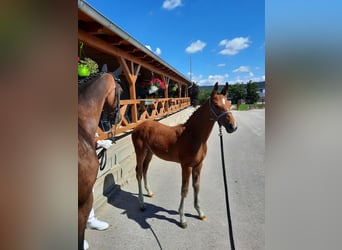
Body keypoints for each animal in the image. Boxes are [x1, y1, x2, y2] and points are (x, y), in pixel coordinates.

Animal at [132, 82, 236, 229]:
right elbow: (184, 190)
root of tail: (137, 127)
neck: (194, 136)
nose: (233, 126)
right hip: (140, 152)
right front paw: (182, 219)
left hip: (149, 153)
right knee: (139, 173)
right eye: (216, 105)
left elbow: (196, 186)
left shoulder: (198, 165)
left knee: (145, 170)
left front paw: (200, 212)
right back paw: (141, 204)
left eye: (228, 102)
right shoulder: (186, 166)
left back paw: (149, 192)